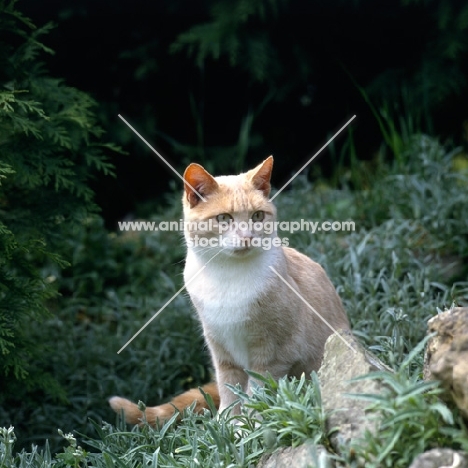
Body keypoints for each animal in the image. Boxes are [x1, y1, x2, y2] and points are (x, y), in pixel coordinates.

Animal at [109, 156, 350, 424]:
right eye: (224, 218)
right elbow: (229, 390)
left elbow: (257, 392)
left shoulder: (271, 354)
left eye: (257, 216)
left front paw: (250, 425)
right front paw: (227, 424)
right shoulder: (221, 349)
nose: (247, 237)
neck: (227, 276)